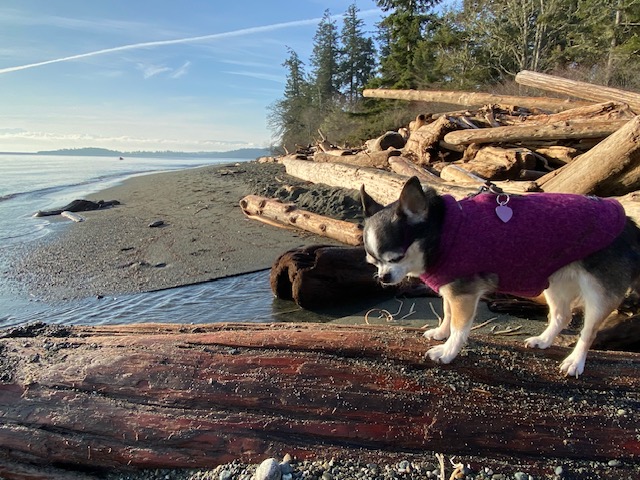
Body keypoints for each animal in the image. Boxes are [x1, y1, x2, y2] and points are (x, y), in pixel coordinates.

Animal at [360, 174, 640, 376]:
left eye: (396, 258)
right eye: (372, 262)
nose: (383, 277)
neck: (441, 233)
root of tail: (630, 226)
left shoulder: (464, 293)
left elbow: (460, 326)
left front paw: (448, 351)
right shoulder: (452, 288)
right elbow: (447, 312)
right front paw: (441, 332)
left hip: (598, 293)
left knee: (588, 331)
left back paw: (574, 362)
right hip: (556, 282)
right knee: (562, 315)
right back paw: (543, 340)